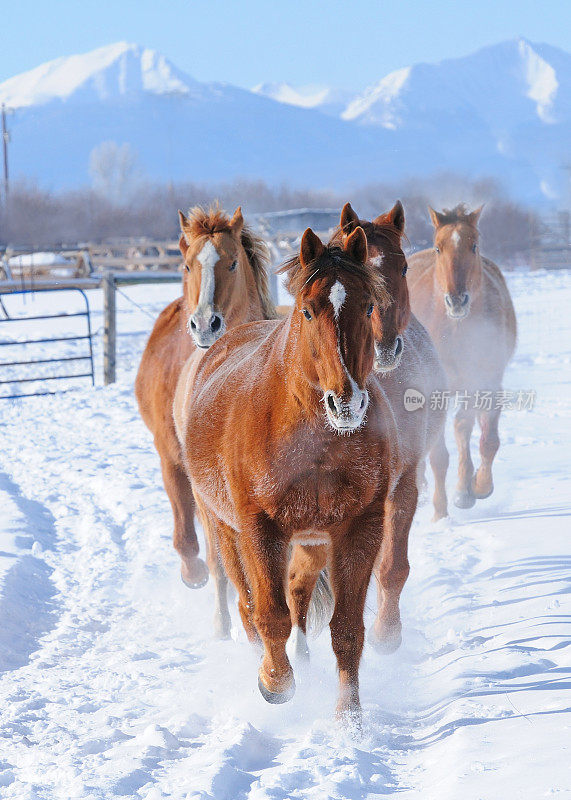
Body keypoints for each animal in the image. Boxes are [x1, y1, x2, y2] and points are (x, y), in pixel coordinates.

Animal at [175, 223, 406, 720]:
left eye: (369, 305)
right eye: (307, 310)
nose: (346, 402)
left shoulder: (360, 528)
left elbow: (346, 628)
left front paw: (349, 719)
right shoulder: (260, 528)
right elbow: (270, 615)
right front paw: (275, 683)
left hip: (312, 539)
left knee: (298, 592)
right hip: (224, 526)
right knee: (246, 600)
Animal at [406, 203, 520, 510]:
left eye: (474, 245)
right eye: (438, 248)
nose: (456, 300)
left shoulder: (486, 379)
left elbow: (485, 438)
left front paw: (475, 487)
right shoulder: (433, 390)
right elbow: (438, 455)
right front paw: (441, 510)